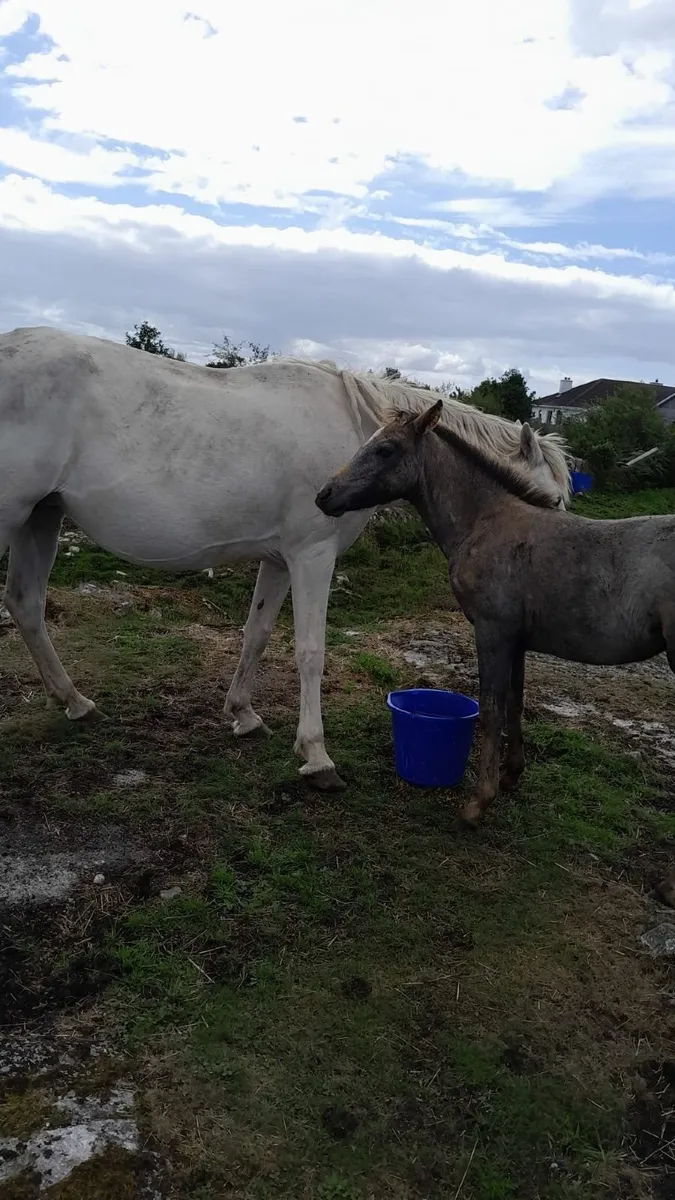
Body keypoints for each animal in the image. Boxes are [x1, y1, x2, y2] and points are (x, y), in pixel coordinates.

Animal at [0, 327, 570, 791]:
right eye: (546, 502)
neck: (356, 436)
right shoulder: (312, 556)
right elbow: (309, 651)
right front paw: (317, 757)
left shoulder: (278, 560)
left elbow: (257, 633)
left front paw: (244, 714)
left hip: (41, 518)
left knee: (26, 604)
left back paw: (75, 702)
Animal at [316, 399, 675, 823]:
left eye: (386, 449)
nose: (324, 494)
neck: (486, 520)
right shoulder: (517, 640)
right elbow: (515, 703)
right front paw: (511, 775)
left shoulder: (492, 632)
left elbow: (490, 708)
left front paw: (478, 802)